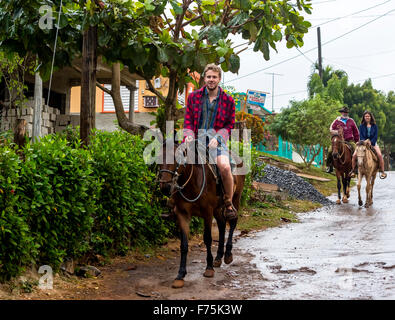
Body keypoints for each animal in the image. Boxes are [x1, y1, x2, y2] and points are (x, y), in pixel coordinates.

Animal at [159, 140, 246, 288]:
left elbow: (207, 239)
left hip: (236, 197)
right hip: (218, 208)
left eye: (177, 158)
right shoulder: (182, 214)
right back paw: (218, 257)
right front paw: (180, 275)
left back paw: (228, 254)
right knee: (222, 225)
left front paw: (209, 268)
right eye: (158, 156)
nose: (165, 187)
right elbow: (184, 245)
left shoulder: (207, 213)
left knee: (233, 222)